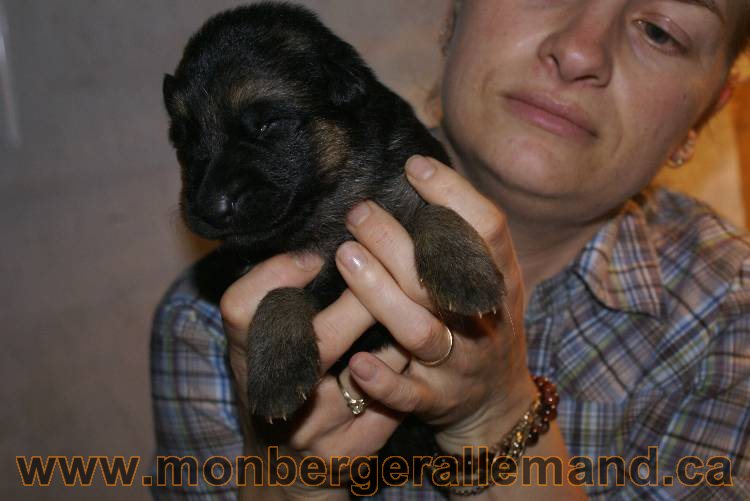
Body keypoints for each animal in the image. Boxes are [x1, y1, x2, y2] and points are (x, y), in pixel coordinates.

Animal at [164, 2, 506, 426]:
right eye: (184, 142)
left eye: (266, 125)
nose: (211, 206)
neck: (330, 201)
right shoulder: (261, 267)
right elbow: (278, 291)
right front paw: (277, 370)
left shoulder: (416, 168)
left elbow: (432, 211)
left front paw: (463, 272)